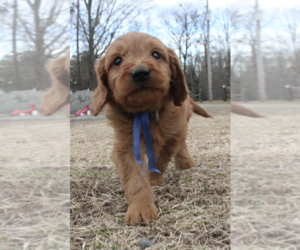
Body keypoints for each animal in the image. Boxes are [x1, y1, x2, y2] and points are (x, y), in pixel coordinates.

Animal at [93, 31, 211, 225]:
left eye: (156, 54)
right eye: (117, 60)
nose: (140, 73)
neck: (146, 111)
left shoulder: (171, 136)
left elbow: (161, 159)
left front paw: (154, 178)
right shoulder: (126, 146)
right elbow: (135, 179)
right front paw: (140, 209)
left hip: (181, 126)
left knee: (182, 144)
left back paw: (185, 162)